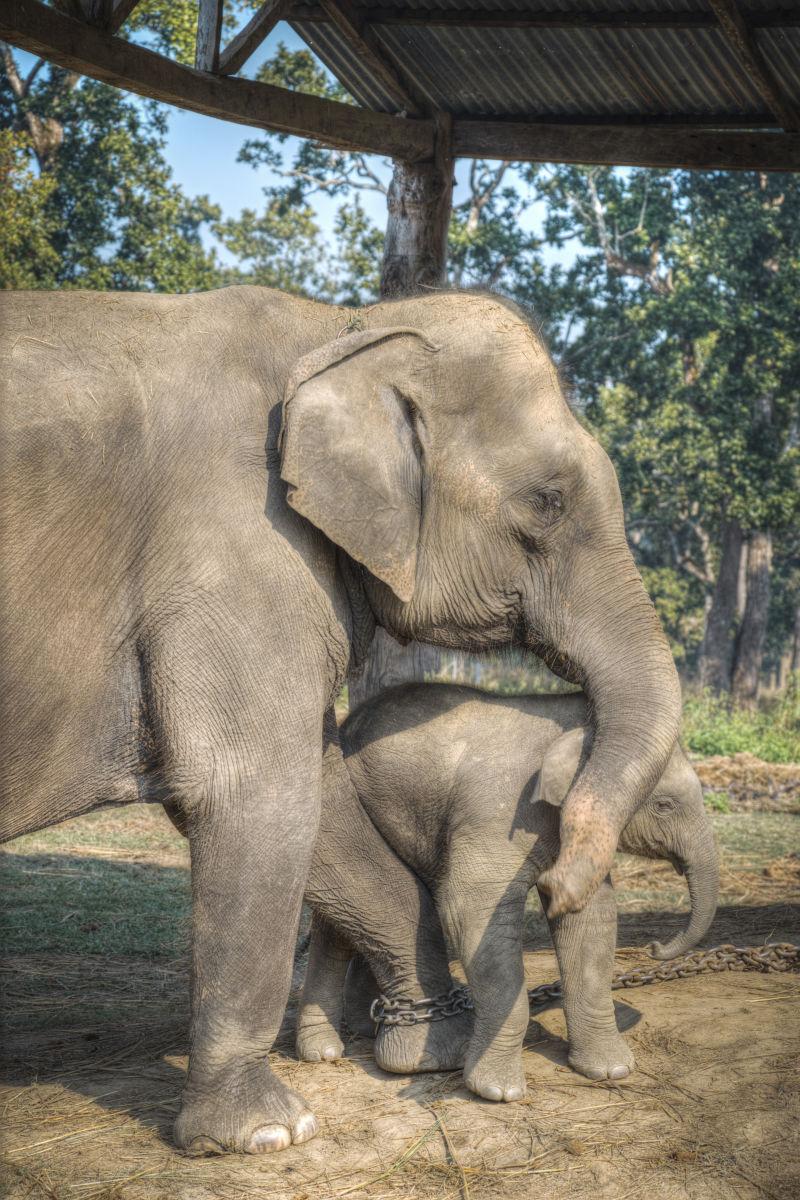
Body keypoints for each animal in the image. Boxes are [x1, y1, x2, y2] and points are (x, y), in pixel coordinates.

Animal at [298, 686, 719, 1099]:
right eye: (664, 805)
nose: (654, 948)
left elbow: (591, 920)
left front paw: (610, 1070)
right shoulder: (499, 814)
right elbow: (472, 909)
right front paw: (499, 1091)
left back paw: (369, 1027)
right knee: (339, 924)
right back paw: (325, 1050)